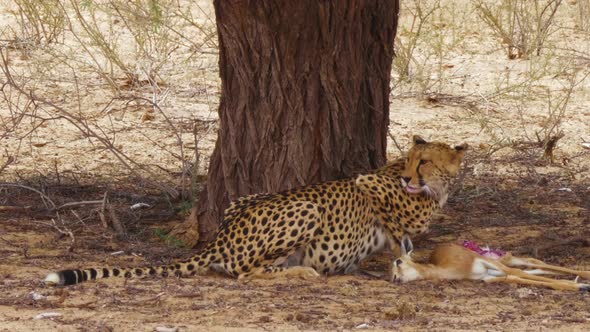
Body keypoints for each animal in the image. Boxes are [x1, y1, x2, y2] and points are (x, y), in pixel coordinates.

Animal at [44, 135, 470, 286]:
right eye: (411, 160)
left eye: (424, 161)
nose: (410, 178)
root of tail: (221, 236)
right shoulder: (367, 183)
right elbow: (397, 224)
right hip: (306, 207)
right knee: (246, 272)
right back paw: (303, 272)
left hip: (244, 199)